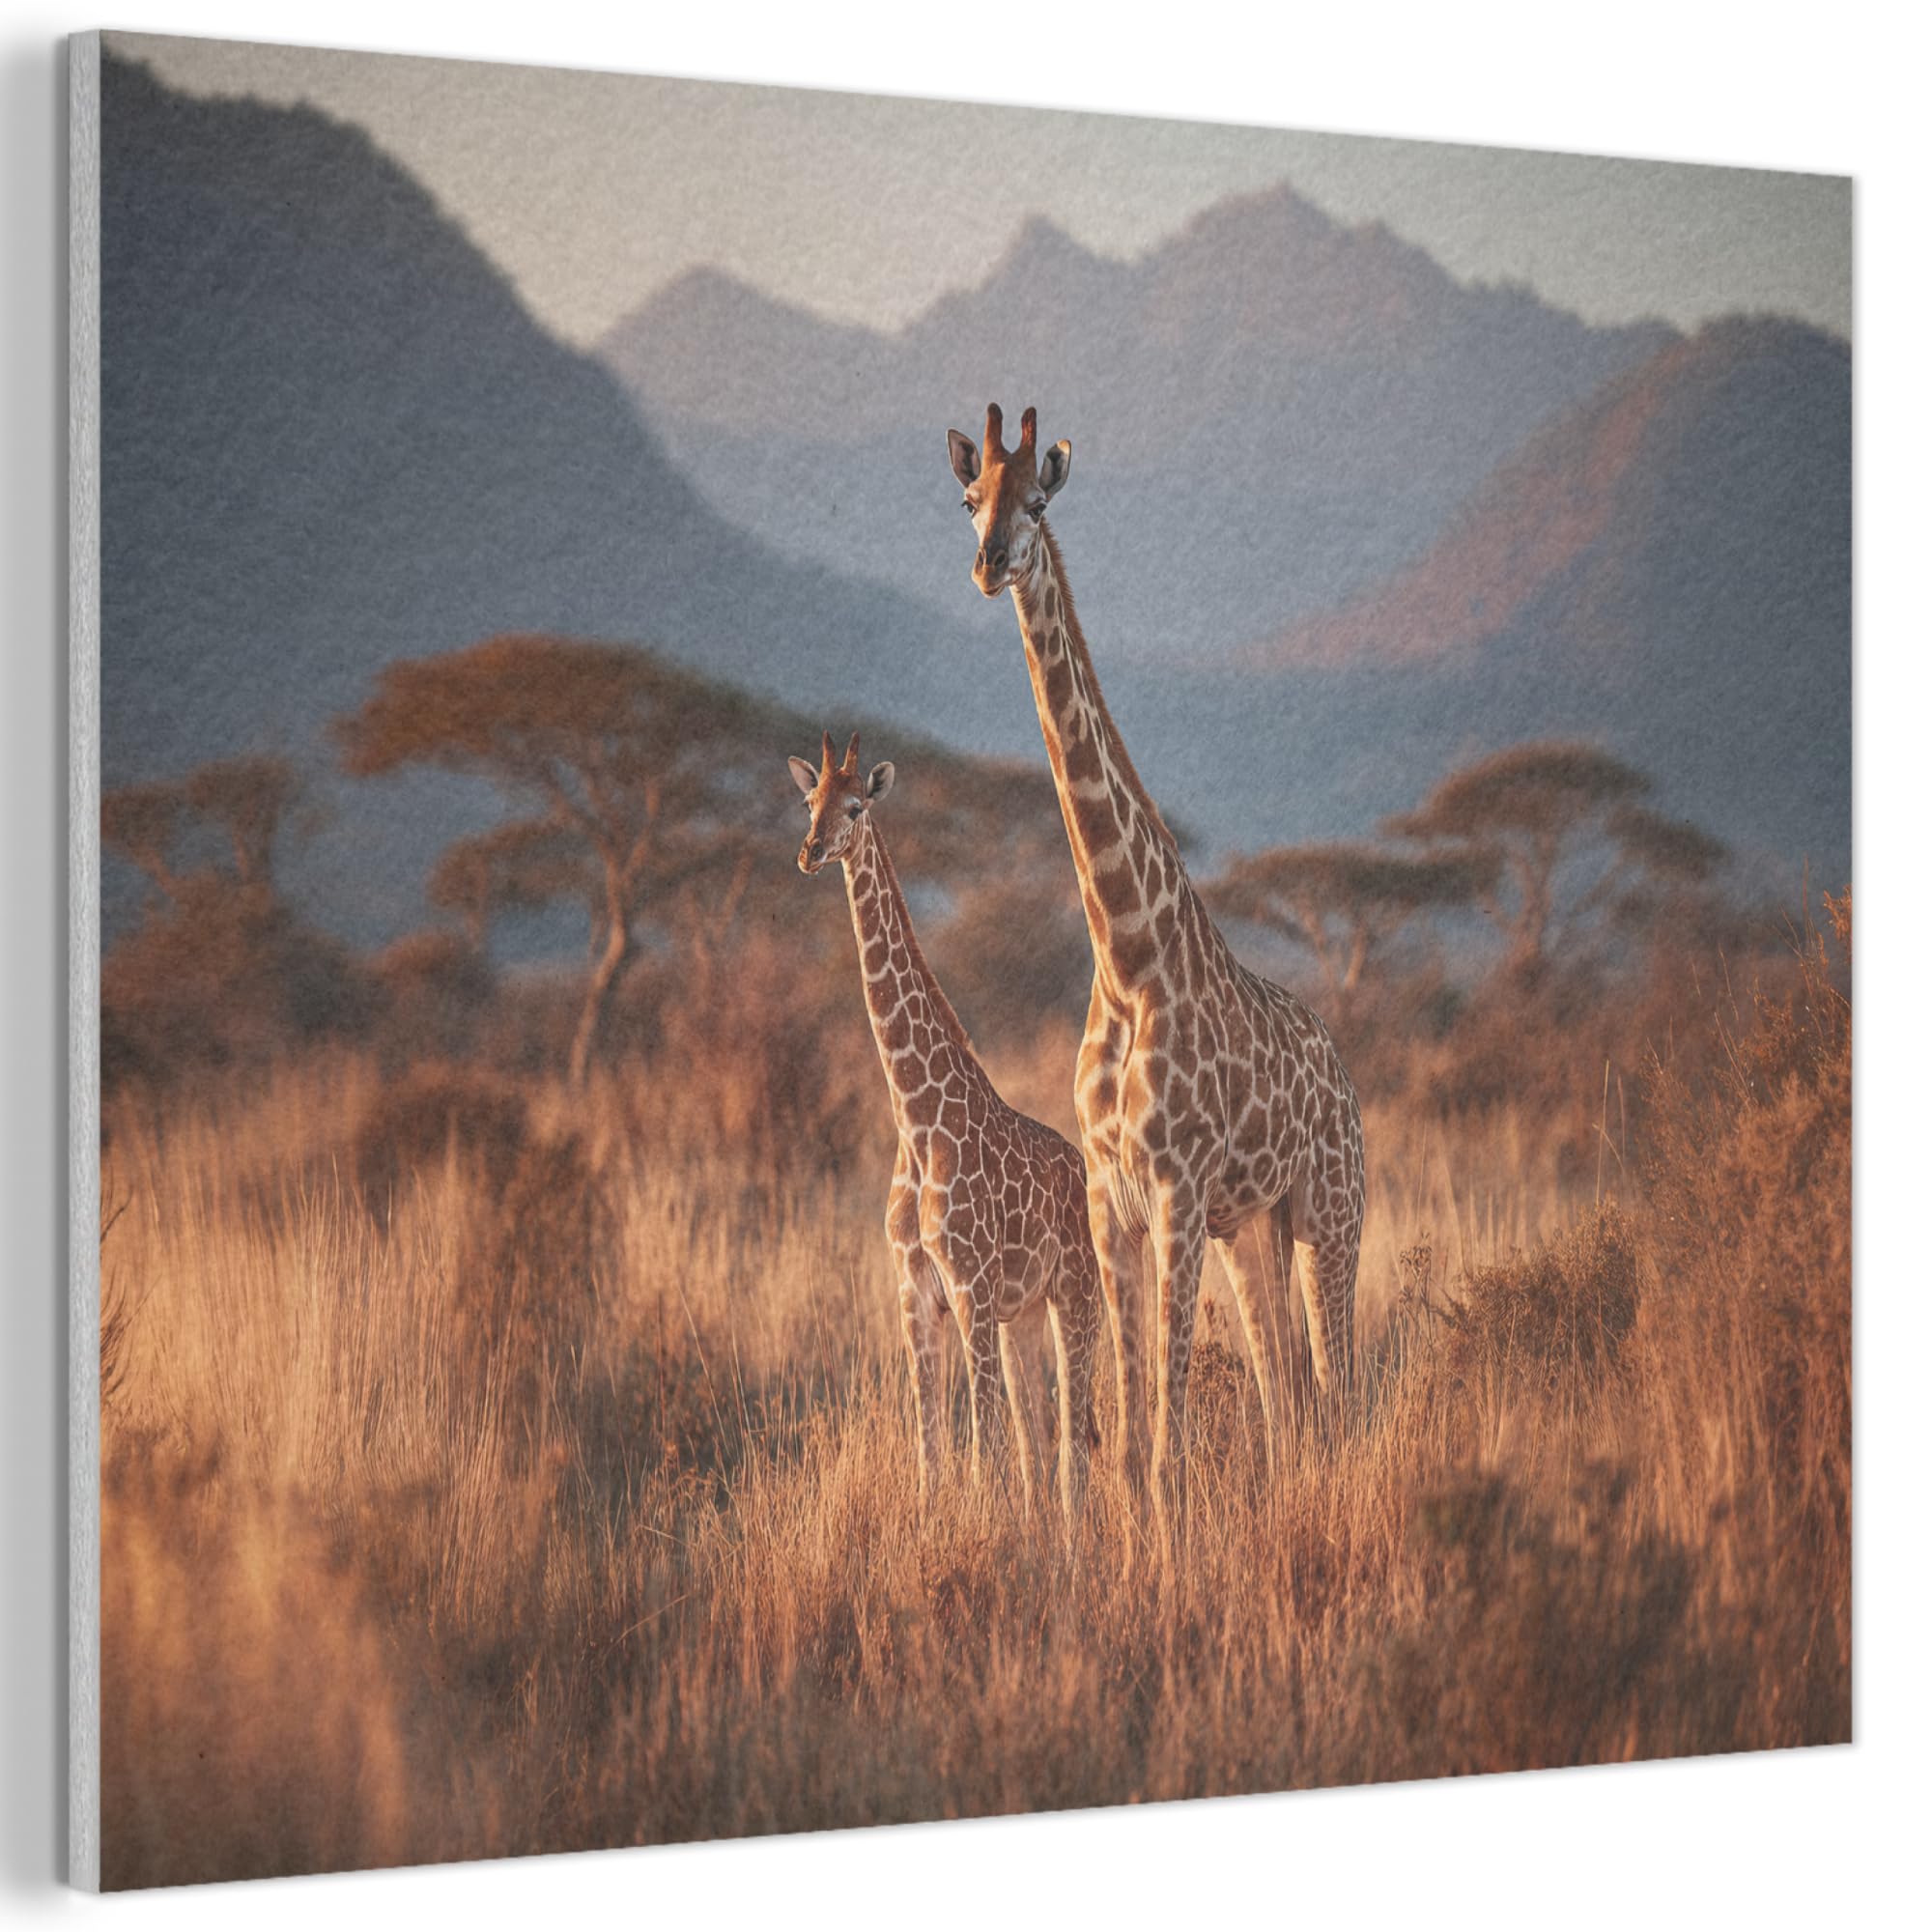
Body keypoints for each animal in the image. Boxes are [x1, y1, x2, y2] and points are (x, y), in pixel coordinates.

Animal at [789, 730, 1103, 1532]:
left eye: (857, 806)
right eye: (809, 802)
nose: (811, 852)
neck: (916, 1119)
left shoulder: (970, 1288)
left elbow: (981, 1446)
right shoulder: (915, 1293)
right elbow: (935, 1449)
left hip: (1076, 1297)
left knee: (1074, 1438)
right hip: (1024, 1316)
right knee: (1038, 1435)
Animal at [945, 404, 1367, 1551]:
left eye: (1036, 500)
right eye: (970, 497)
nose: (988, 563)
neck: (1126, 955)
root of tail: (1344, 1075)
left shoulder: (1176, 1191)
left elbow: (1166, 1445)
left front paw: (1168, 1571)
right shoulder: (1114, 1204)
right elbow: (1129, 1443)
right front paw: (1131, 1566)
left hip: (1329, 1215)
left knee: (1339, 1394)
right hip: (1250, 1230)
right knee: (1285, 1403)